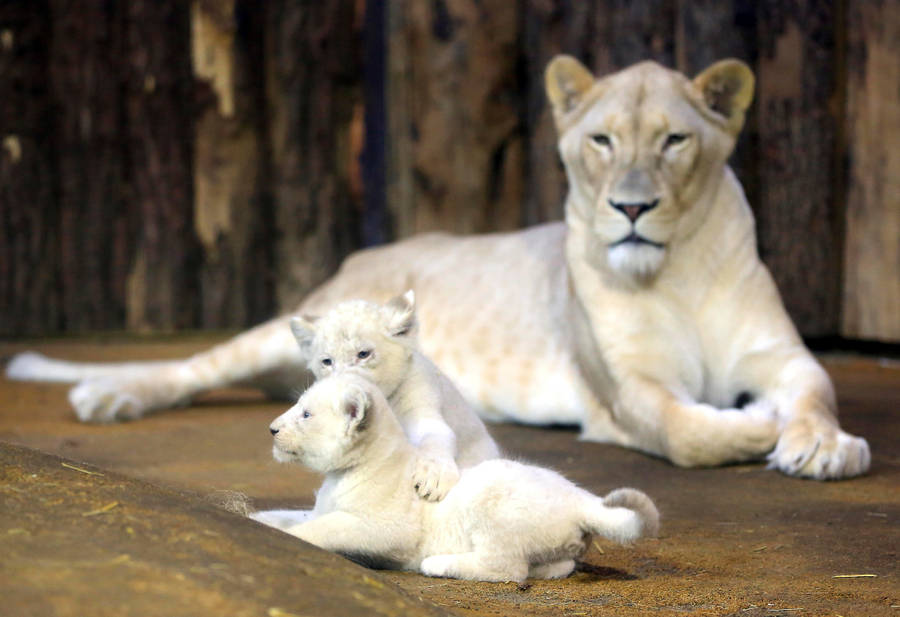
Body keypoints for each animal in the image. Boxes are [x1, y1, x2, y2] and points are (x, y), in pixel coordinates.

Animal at [6, 56, 870, 480]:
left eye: (674, 141)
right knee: (189, 366)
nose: (631, 207)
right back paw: (108, 393)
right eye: (601, 142)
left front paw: (824, 444)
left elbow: (819, 387)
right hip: (278, 330)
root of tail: (364, 253)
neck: (678, 269)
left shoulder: (782, 353)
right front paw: (757, 427)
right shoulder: (625, 390)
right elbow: (686, 429)